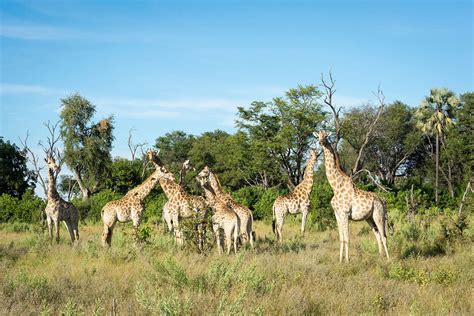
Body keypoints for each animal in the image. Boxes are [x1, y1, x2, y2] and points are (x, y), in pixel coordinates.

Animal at [316, 131, 390, 262]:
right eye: (317, 136)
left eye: (326, 136)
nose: (321, 142)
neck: (335, 187)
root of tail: (382, 201)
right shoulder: (337, 214)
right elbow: (341, 238)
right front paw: (340, 260)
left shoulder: (345, 213)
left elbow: (347, 238)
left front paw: (347, 260)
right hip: (369, 218)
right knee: (377, 235)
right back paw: (380, 257)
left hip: (378, 215)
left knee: (384, 235)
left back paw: (388, 259)